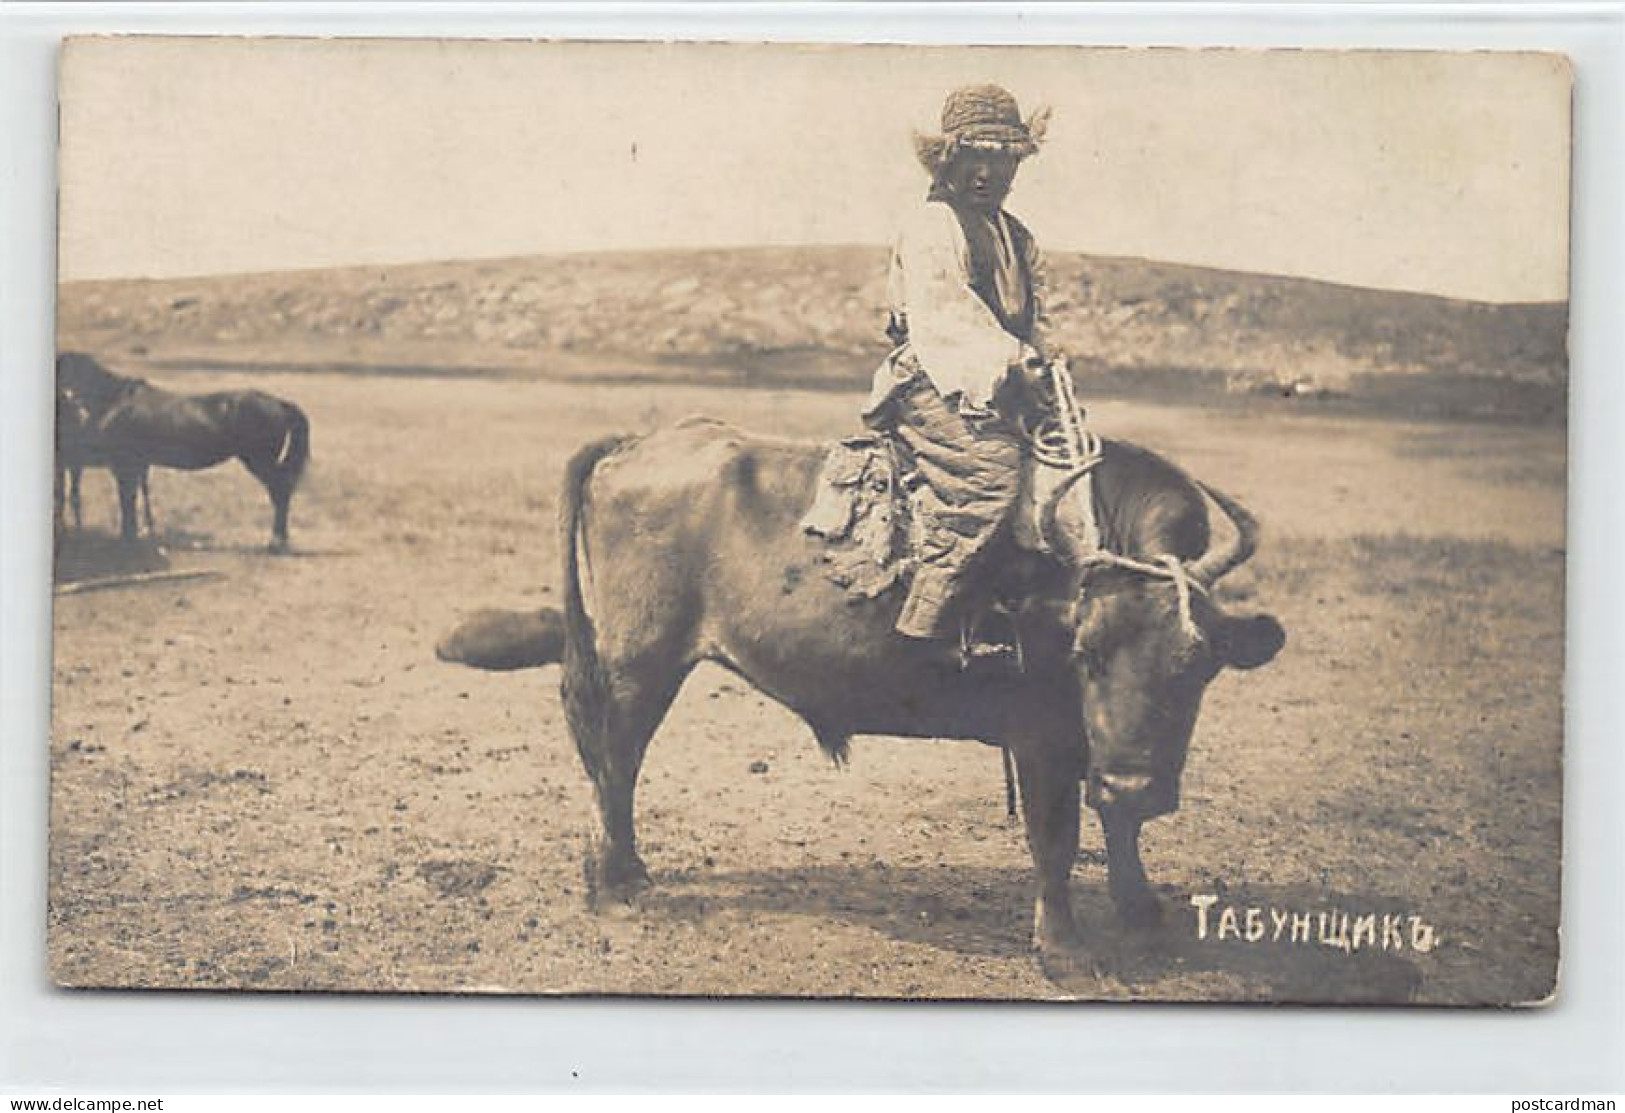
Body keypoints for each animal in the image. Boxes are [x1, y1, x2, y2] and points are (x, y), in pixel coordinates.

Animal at [56, 350, 310, 552]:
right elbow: (133, 499)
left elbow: (126, 501)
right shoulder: (135, 465)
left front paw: (127, 539)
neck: (114, 400)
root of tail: (279, 403)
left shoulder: (124, 465)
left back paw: (276, 543)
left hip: (260, 462)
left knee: (280, 493)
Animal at [442, 419, 1280, 974]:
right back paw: (612, 885)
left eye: (1197, 662)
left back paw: (629, 874)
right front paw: (1064, 947)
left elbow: (1116, 826)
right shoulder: (1041, 738)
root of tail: (635, 443)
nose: (1138, 780)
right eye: (1086, 651)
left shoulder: (1097, 748)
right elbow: (1057, 836)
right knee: (614, 759)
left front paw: (1142, 911)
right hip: (637, 666)